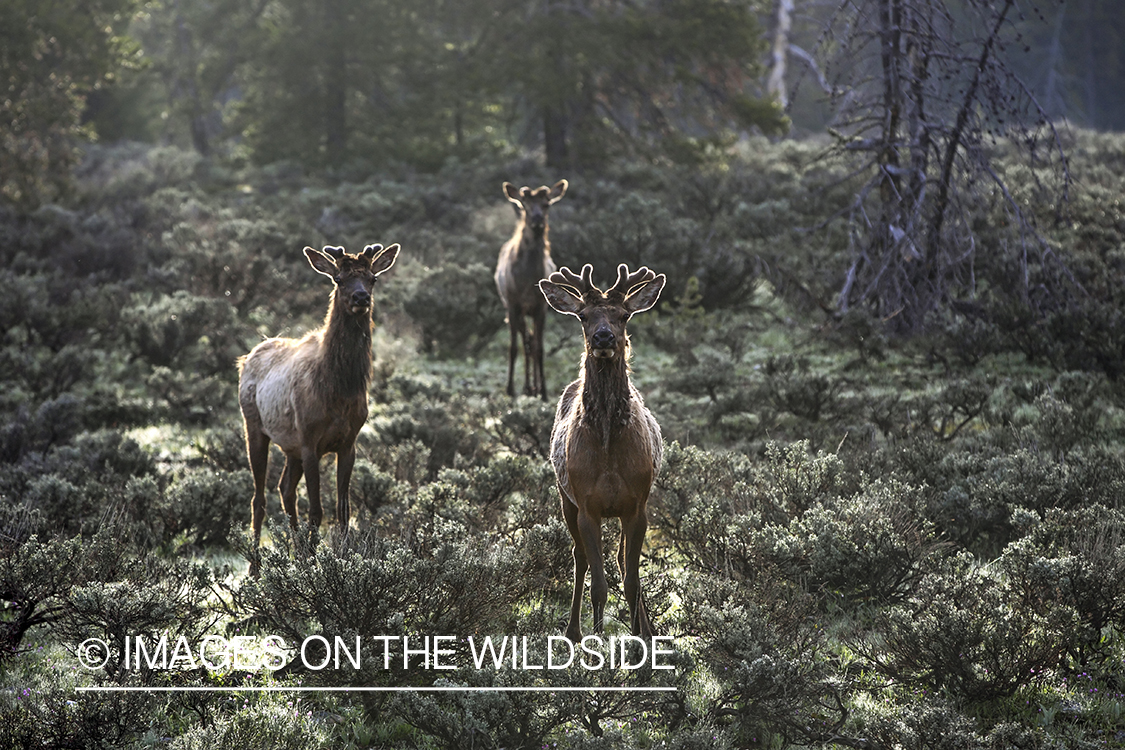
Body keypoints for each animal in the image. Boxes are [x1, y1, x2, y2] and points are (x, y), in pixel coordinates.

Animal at [237, 241, 400, 575]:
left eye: (373, 278)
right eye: (338, 279)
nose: (360, 298)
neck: (338, 392)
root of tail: (247, 357)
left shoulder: (348, 442)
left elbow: (343, 509)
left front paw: (340, 557)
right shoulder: (310, 440)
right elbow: (316, 509)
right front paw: (315, 564)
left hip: (291, 446)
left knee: (285, 489)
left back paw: (297, 554)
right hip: (255, 426)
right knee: (259, 497)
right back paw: (255, 568)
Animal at [497, 179, 567, 402]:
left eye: (546, 205)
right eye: (525, 206)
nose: (537, 220)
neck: (528, 281)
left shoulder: (541, 306)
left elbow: (540, 348)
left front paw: (543, 391)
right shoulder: (513, 305)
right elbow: (513, 348)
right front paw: (510, 389)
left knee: (532, 342)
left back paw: (533, 388)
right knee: (525, 341)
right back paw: (526, 387)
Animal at [537, 263, 661, 638]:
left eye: (624, 315)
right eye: (583, 315)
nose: (603, 338)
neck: (608, 452)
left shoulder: (637, 504)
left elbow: (632, 581)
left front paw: (639, 639)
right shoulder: (587, 505)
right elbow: (599, 586)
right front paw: (596, 640)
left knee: (621, 561)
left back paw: (646, 629)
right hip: (565, 497)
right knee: (579, 557)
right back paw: (574, 631)